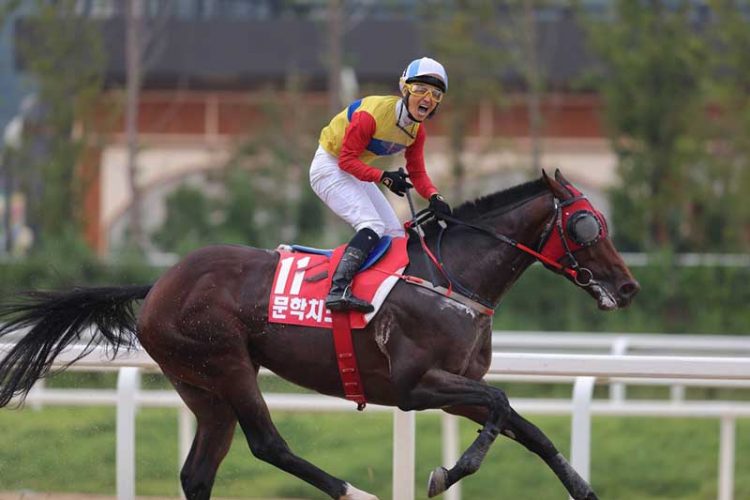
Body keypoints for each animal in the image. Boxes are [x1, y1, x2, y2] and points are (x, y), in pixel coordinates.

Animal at [0, 169, 639, 500]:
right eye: (587, 226)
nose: (628, 287)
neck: (451, 276)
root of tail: (159, 282)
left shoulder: (454, 387)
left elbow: (527, 428)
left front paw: (583, 489)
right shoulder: (415, 386)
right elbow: (504, 404)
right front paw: (445, 474)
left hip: (201, 386)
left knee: (198, 472)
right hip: (225, 362)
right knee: (268, 444)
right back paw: (352, 491)